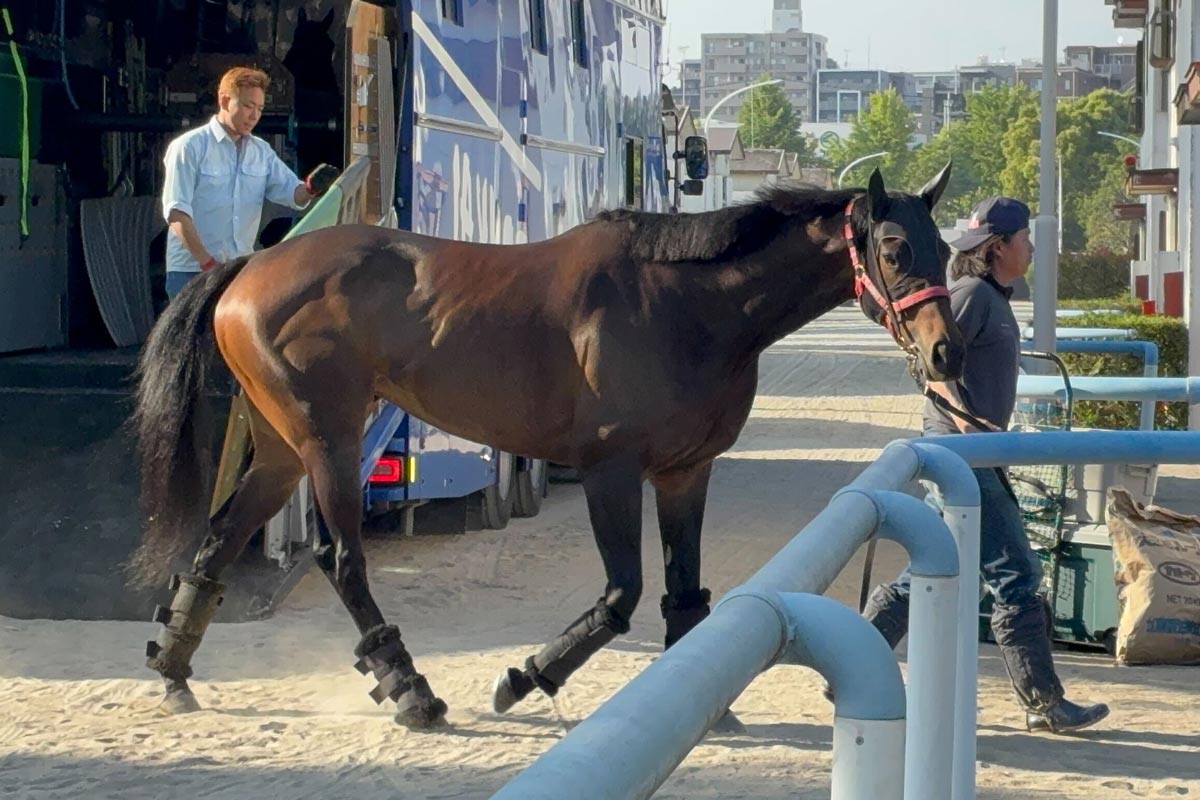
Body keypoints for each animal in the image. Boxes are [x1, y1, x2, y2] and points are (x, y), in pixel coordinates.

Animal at [129, 165, 963, 731]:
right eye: (894, 249)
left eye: (946, 248)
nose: (945, 353)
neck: (684, 303)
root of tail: (252, 265)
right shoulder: (610, 470)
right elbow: (622, 596)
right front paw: (524, 678)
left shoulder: (685, 472)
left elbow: (685, 588)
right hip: (327, 439)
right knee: (341, 560)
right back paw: (413, 692)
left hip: (279, 447)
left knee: (217, 540)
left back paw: (174, 672)